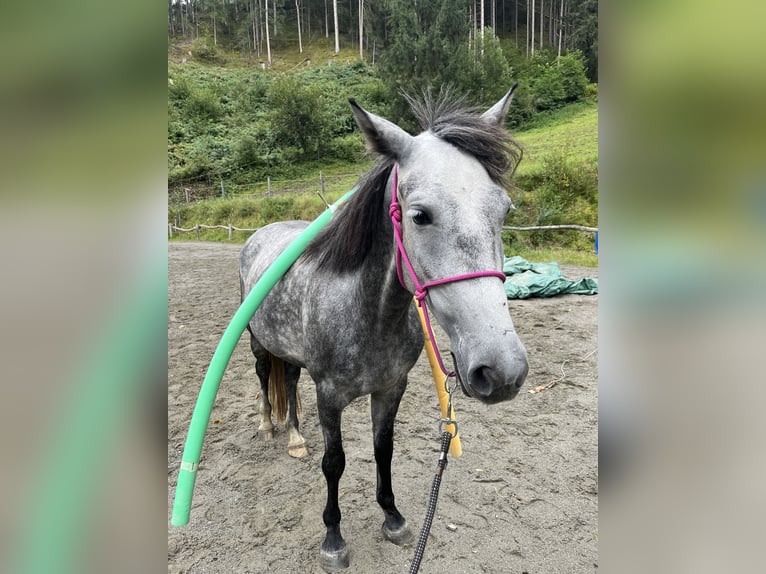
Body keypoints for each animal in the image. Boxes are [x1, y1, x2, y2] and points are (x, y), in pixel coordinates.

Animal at [239, 87, 529, 572]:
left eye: (504, 209)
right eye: (420, 215)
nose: (502, 371)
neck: (368, 315)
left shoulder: (392, 388)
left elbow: (383, 449)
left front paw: (392, 517)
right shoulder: (329, 395)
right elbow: (334, 462)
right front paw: (333, 538)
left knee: (290, 382)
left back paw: (295, 436)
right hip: (260, 343)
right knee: (266, 378)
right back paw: (268, 426)